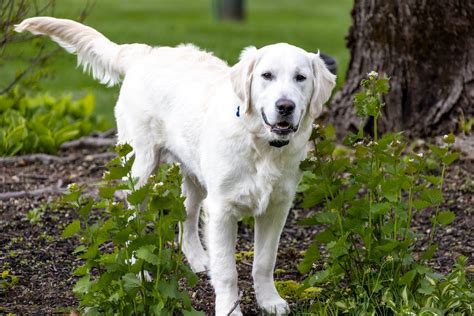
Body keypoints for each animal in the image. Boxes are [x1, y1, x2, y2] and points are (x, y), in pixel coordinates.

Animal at [16, 17, 336, 316]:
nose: (285, 106)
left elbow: (265, 261)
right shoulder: (222, 208)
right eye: (266, 76)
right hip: (140, 166)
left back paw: (199, 259)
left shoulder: (277, 206)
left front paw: (270, 301)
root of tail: (145, 53)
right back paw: (138, 268)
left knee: (187, 218)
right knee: (132, 221)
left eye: (301, 78)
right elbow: (227, 271)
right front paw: (228, 308)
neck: (261, 145)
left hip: (193, 174)